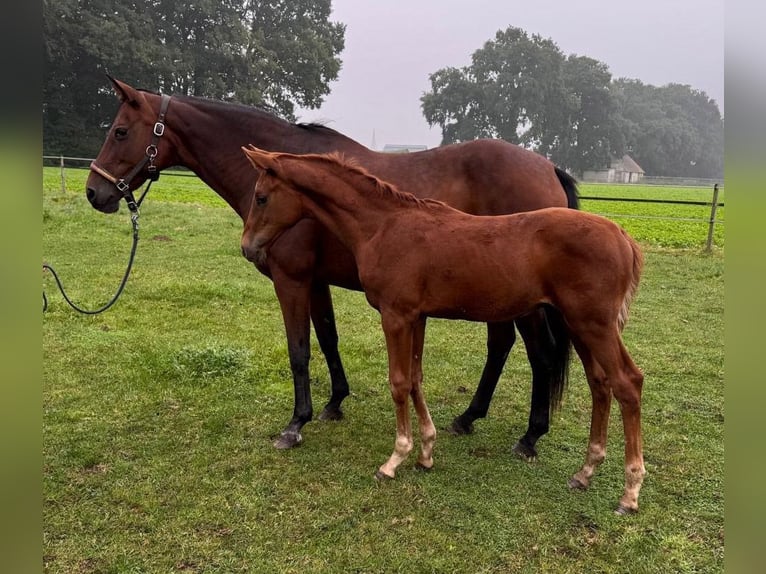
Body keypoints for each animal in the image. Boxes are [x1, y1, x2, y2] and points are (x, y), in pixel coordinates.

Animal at [84, 76, 580, 454]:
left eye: (121, 131)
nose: (94, 192)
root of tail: (548, 168)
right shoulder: (317, 282)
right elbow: (327, 338)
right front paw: (334, 403)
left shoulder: (291, 280)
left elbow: (299, 350)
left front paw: (295, 424)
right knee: (501, 346)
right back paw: (469, 417)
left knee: (539, 354)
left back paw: (530, 437)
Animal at [242, 146, 648, 516]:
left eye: (261, 197)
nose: (248, 248)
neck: (384, 225)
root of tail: (623, 237)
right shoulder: (417, 317)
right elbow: (416, 379)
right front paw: (425, 453)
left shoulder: (396, 316)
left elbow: (399, 382)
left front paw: (394, 459)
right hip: (579, 326)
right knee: (600, 383)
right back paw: (585, 472)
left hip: (594, 325)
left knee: (627, 383)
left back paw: (628, 493)